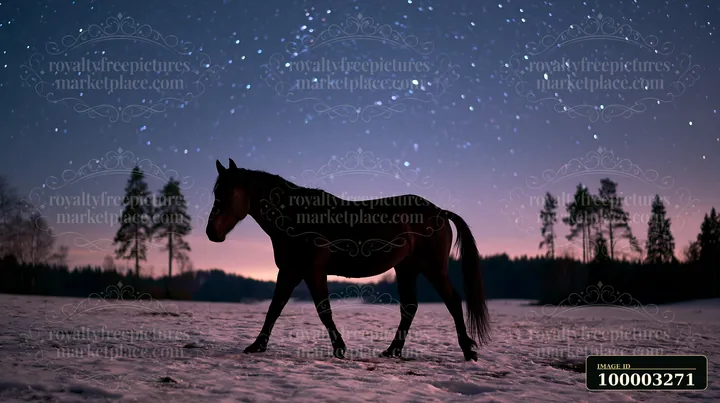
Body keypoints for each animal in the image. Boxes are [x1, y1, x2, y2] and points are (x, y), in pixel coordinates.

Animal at [206, 159, 490, 361]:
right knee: (409, 308)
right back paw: (392, 351)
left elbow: (323, 311)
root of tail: (440, 212)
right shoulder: (289, 271)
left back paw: (468, 351)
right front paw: (257, 345)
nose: (211, 232)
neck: (297, 217)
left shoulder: (312, 272)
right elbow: (275, 308)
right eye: (216, 192)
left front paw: (339, 348)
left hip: (433, 269)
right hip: (406, 269)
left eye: (229, 193)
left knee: (453, 301)